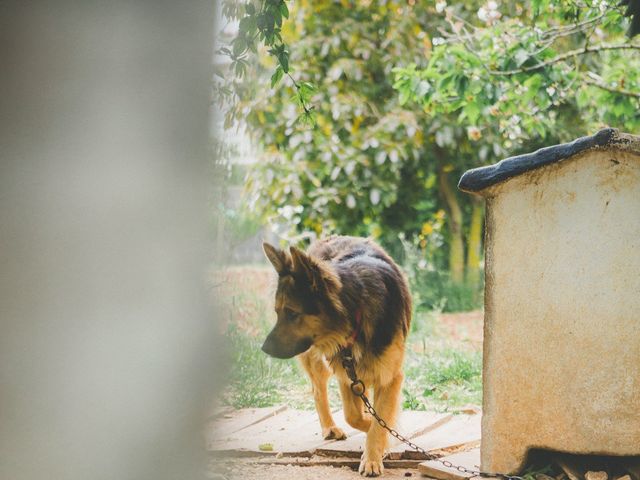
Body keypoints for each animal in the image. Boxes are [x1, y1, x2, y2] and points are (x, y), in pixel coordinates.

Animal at [262, 235, 412, 476]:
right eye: (277, 312)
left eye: (292, 313)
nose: (263, 348)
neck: (356, 310)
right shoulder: (345, 372)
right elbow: (357, 417)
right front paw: (377, 436)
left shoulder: (390, 377)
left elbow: (378, 420)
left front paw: (373, 454)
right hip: (317, 359)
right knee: (318, 390)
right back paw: (330, 427)